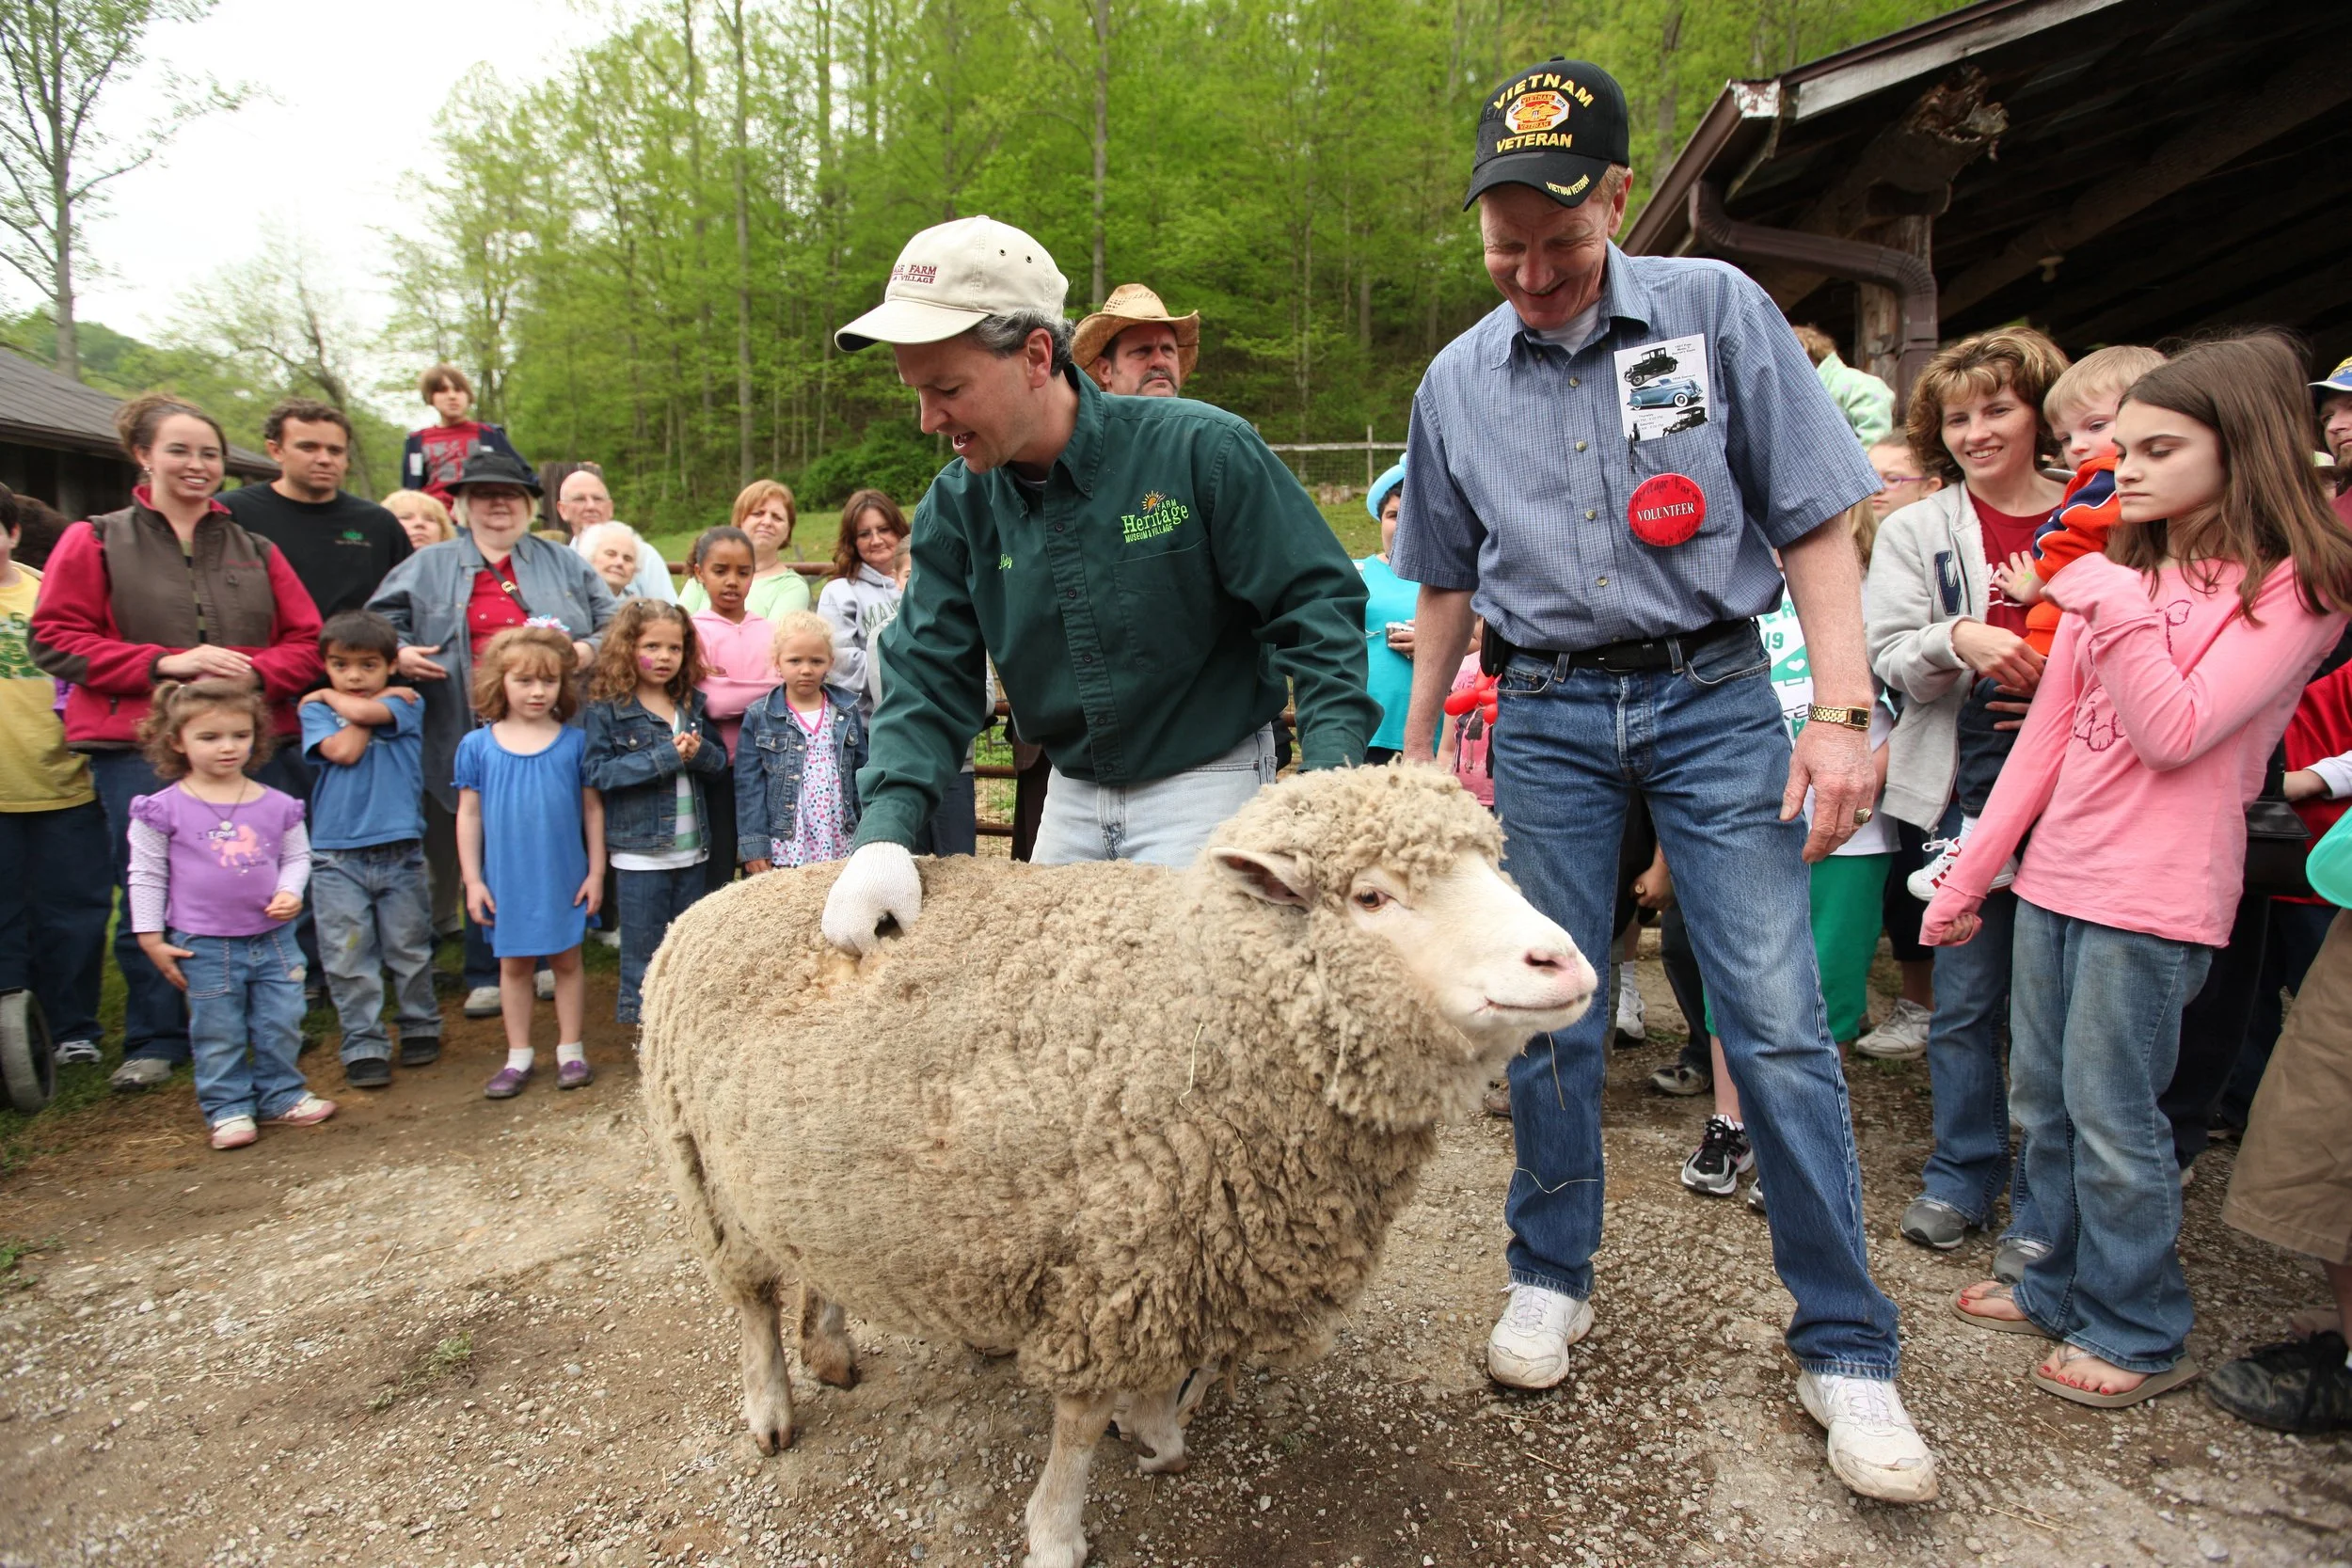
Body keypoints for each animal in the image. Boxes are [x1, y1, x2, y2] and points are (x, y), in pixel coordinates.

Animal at [637, 765, 1596, 1568]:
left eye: (1494, 865)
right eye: (1372, 895)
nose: (1564, 961)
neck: (1198, 1003)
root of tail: (718, 900)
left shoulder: (1174, 1258)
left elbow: (1150, 1390)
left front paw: (1157, 1433)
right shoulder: (1113, 1267)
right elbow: (1078, 1423)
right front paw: (1058, 1531)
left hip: (811, 1172)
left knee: (812, 1262)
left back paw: (830, 1345)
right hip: (706, 1178)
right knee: (752, 1302)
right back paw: (771, 1408)